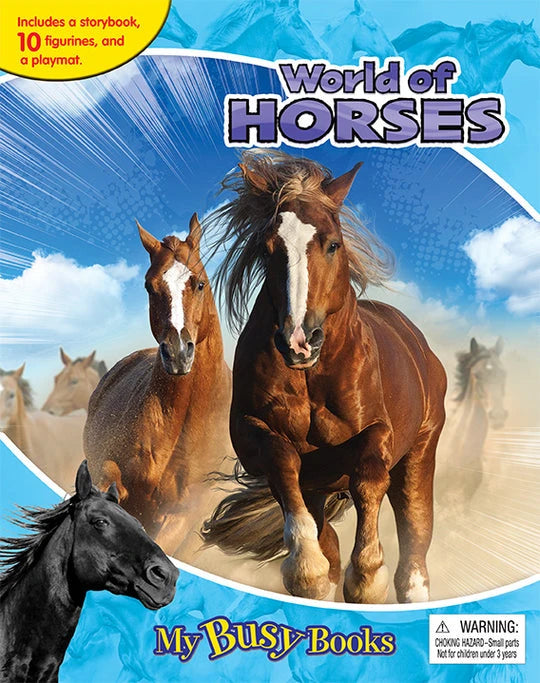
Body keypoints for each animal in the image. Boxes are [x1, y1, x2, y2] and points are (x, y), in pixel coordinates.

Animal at [203, 151, 447, 603]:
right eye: (267, 248)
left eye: (332, 243)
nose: (299, 340)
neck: (311, 377)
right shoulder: (252, 434)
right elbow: (281, 460)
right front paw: (307, 570)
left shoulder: (378, 433)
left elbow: (369, 475)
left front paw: (366, 576)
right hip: (319, 487)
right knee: (328, 537)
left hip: (419, 457)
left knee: (414, 556)